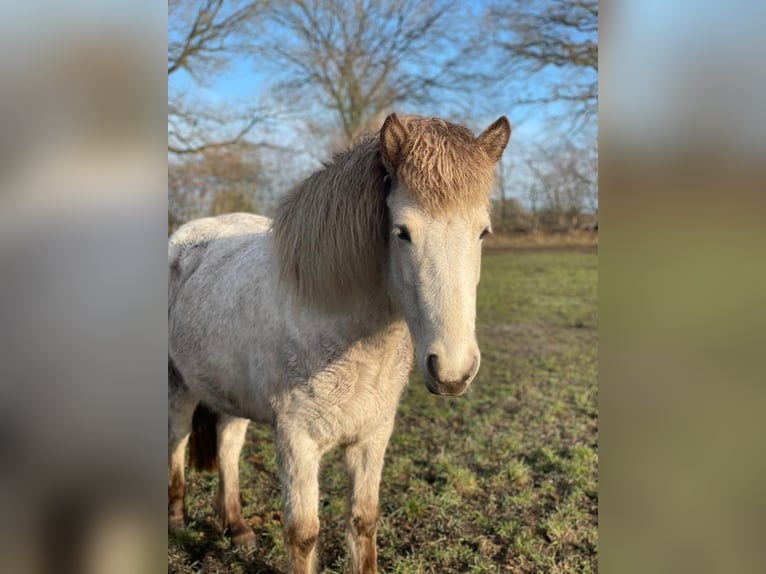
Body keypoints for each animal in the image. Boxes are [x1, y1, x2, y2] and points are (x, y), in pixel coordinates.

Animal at [168, 113, 511, 574]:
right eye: (402, 232)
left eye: (483, 232)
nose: (453, 372)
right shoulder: (296, 442)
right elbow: (303, 534)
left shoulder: (372, 437)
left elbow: (364, 521)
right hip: (179, 387)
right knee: (178, 439)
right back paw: (176, 520)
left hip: (228, 393)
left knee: (227, 446)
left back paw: (237, 527)